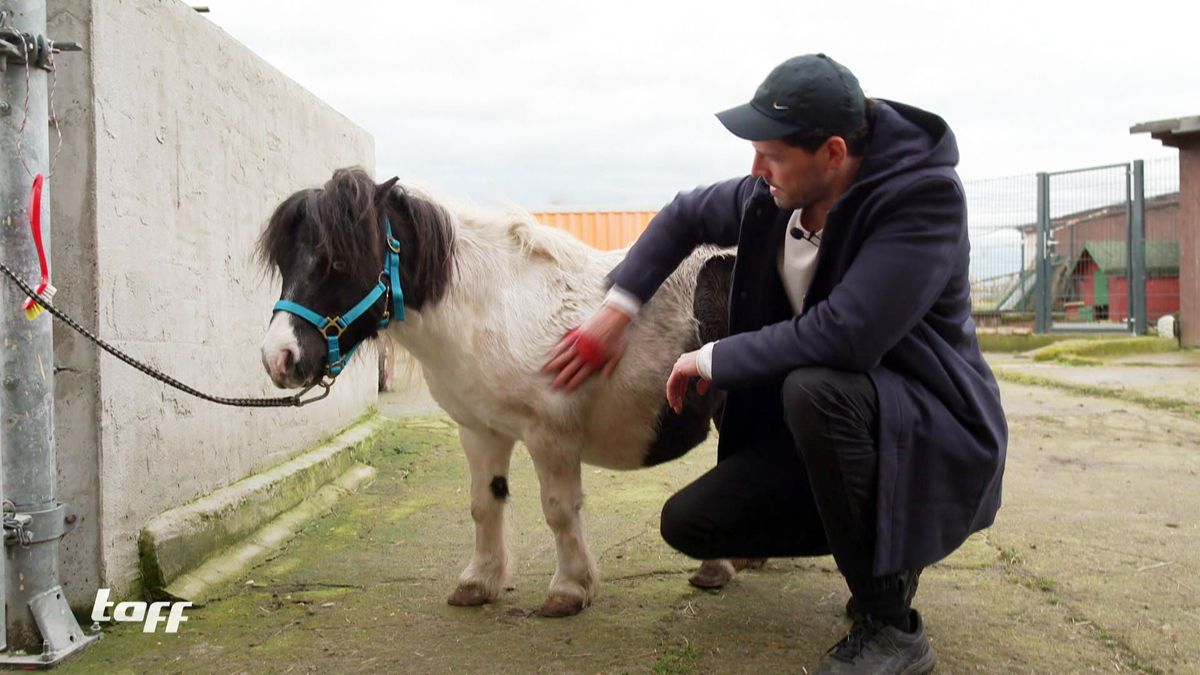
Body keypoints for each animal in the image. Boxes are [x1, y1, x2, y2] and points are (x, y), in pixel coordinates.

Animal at [256, 168, 734, 614]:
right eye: (285, 264)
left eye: (337, 263)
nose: (278, 358)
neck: (493, 309)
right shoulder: (479, 431)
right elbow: (484, 504)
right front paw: (478, 582)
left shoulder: (550, 435)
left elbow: (559, 510)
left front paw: (569, 588)